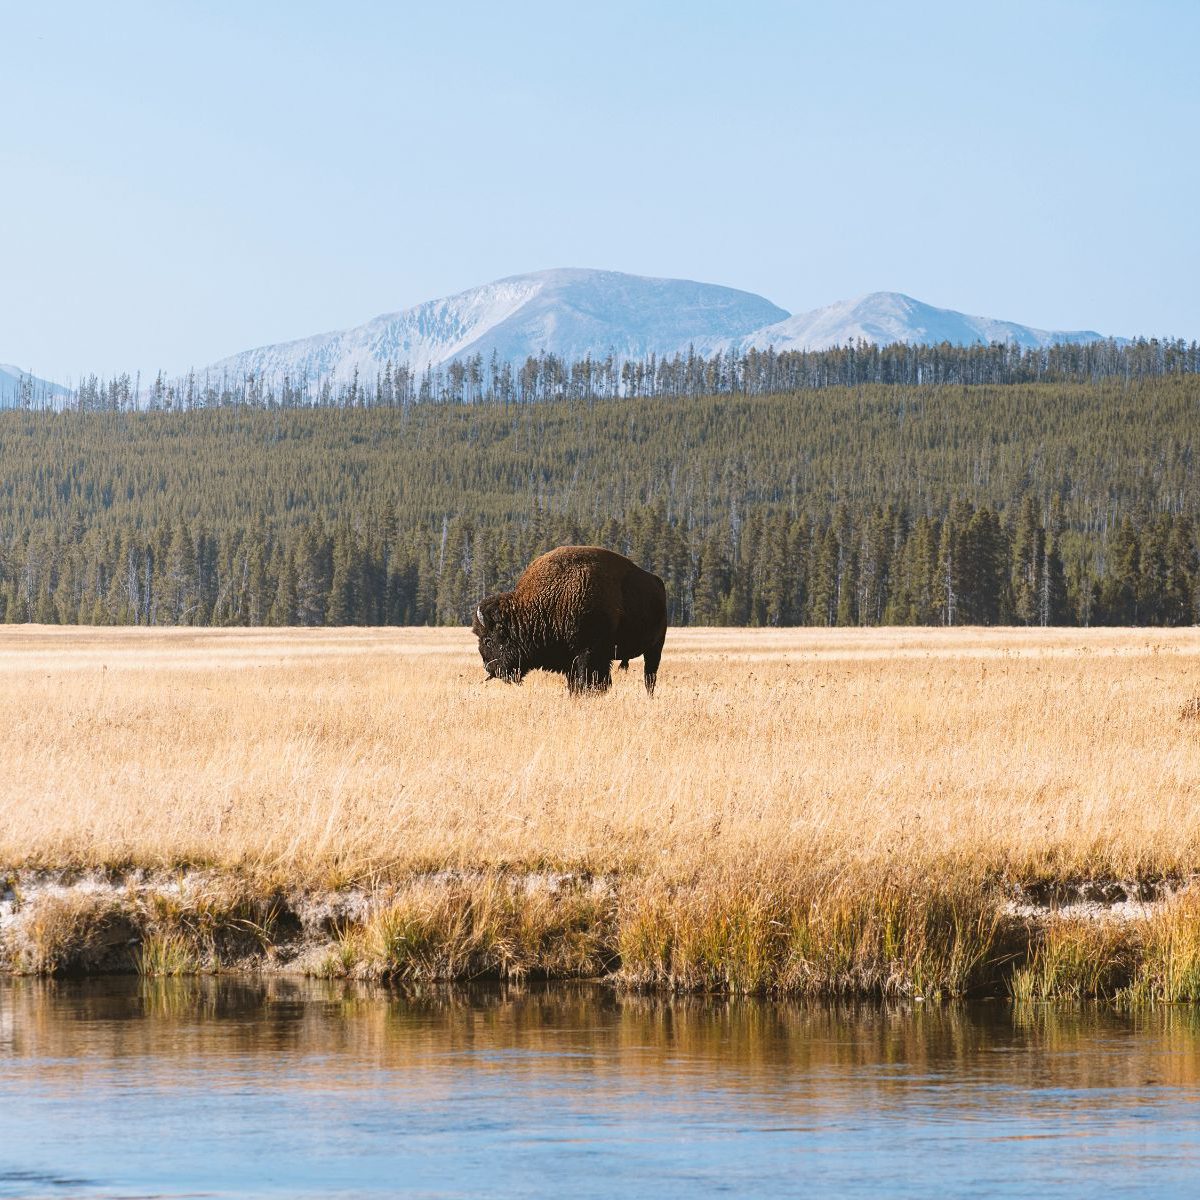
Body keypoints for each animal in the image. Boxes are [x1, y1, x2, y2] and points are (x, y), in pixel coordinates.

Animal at [473, 546, 667, 695]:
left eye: (488, 640)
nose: (488, 668)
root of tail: (657, 582)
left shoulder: (588, 653)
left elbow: (588, 681)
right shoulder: (572, 659)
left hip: (655, 648)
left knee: (650, 676)